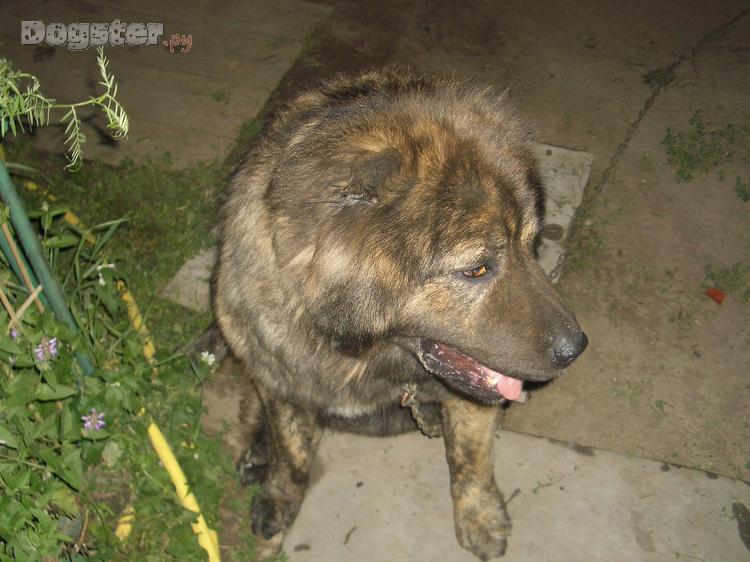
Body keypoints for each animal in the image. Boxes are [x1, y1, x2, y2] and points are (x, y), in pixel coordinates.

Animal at [212, 69, 587, 560]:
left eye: (533, 243)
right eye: (477, 269)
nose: (575, 349)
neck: (358, 353)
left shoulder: (469, 396)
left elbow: (471, 457)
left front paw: (479, 516)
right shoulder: (283, 376)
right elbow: (291, 452)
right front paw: (280, 495)